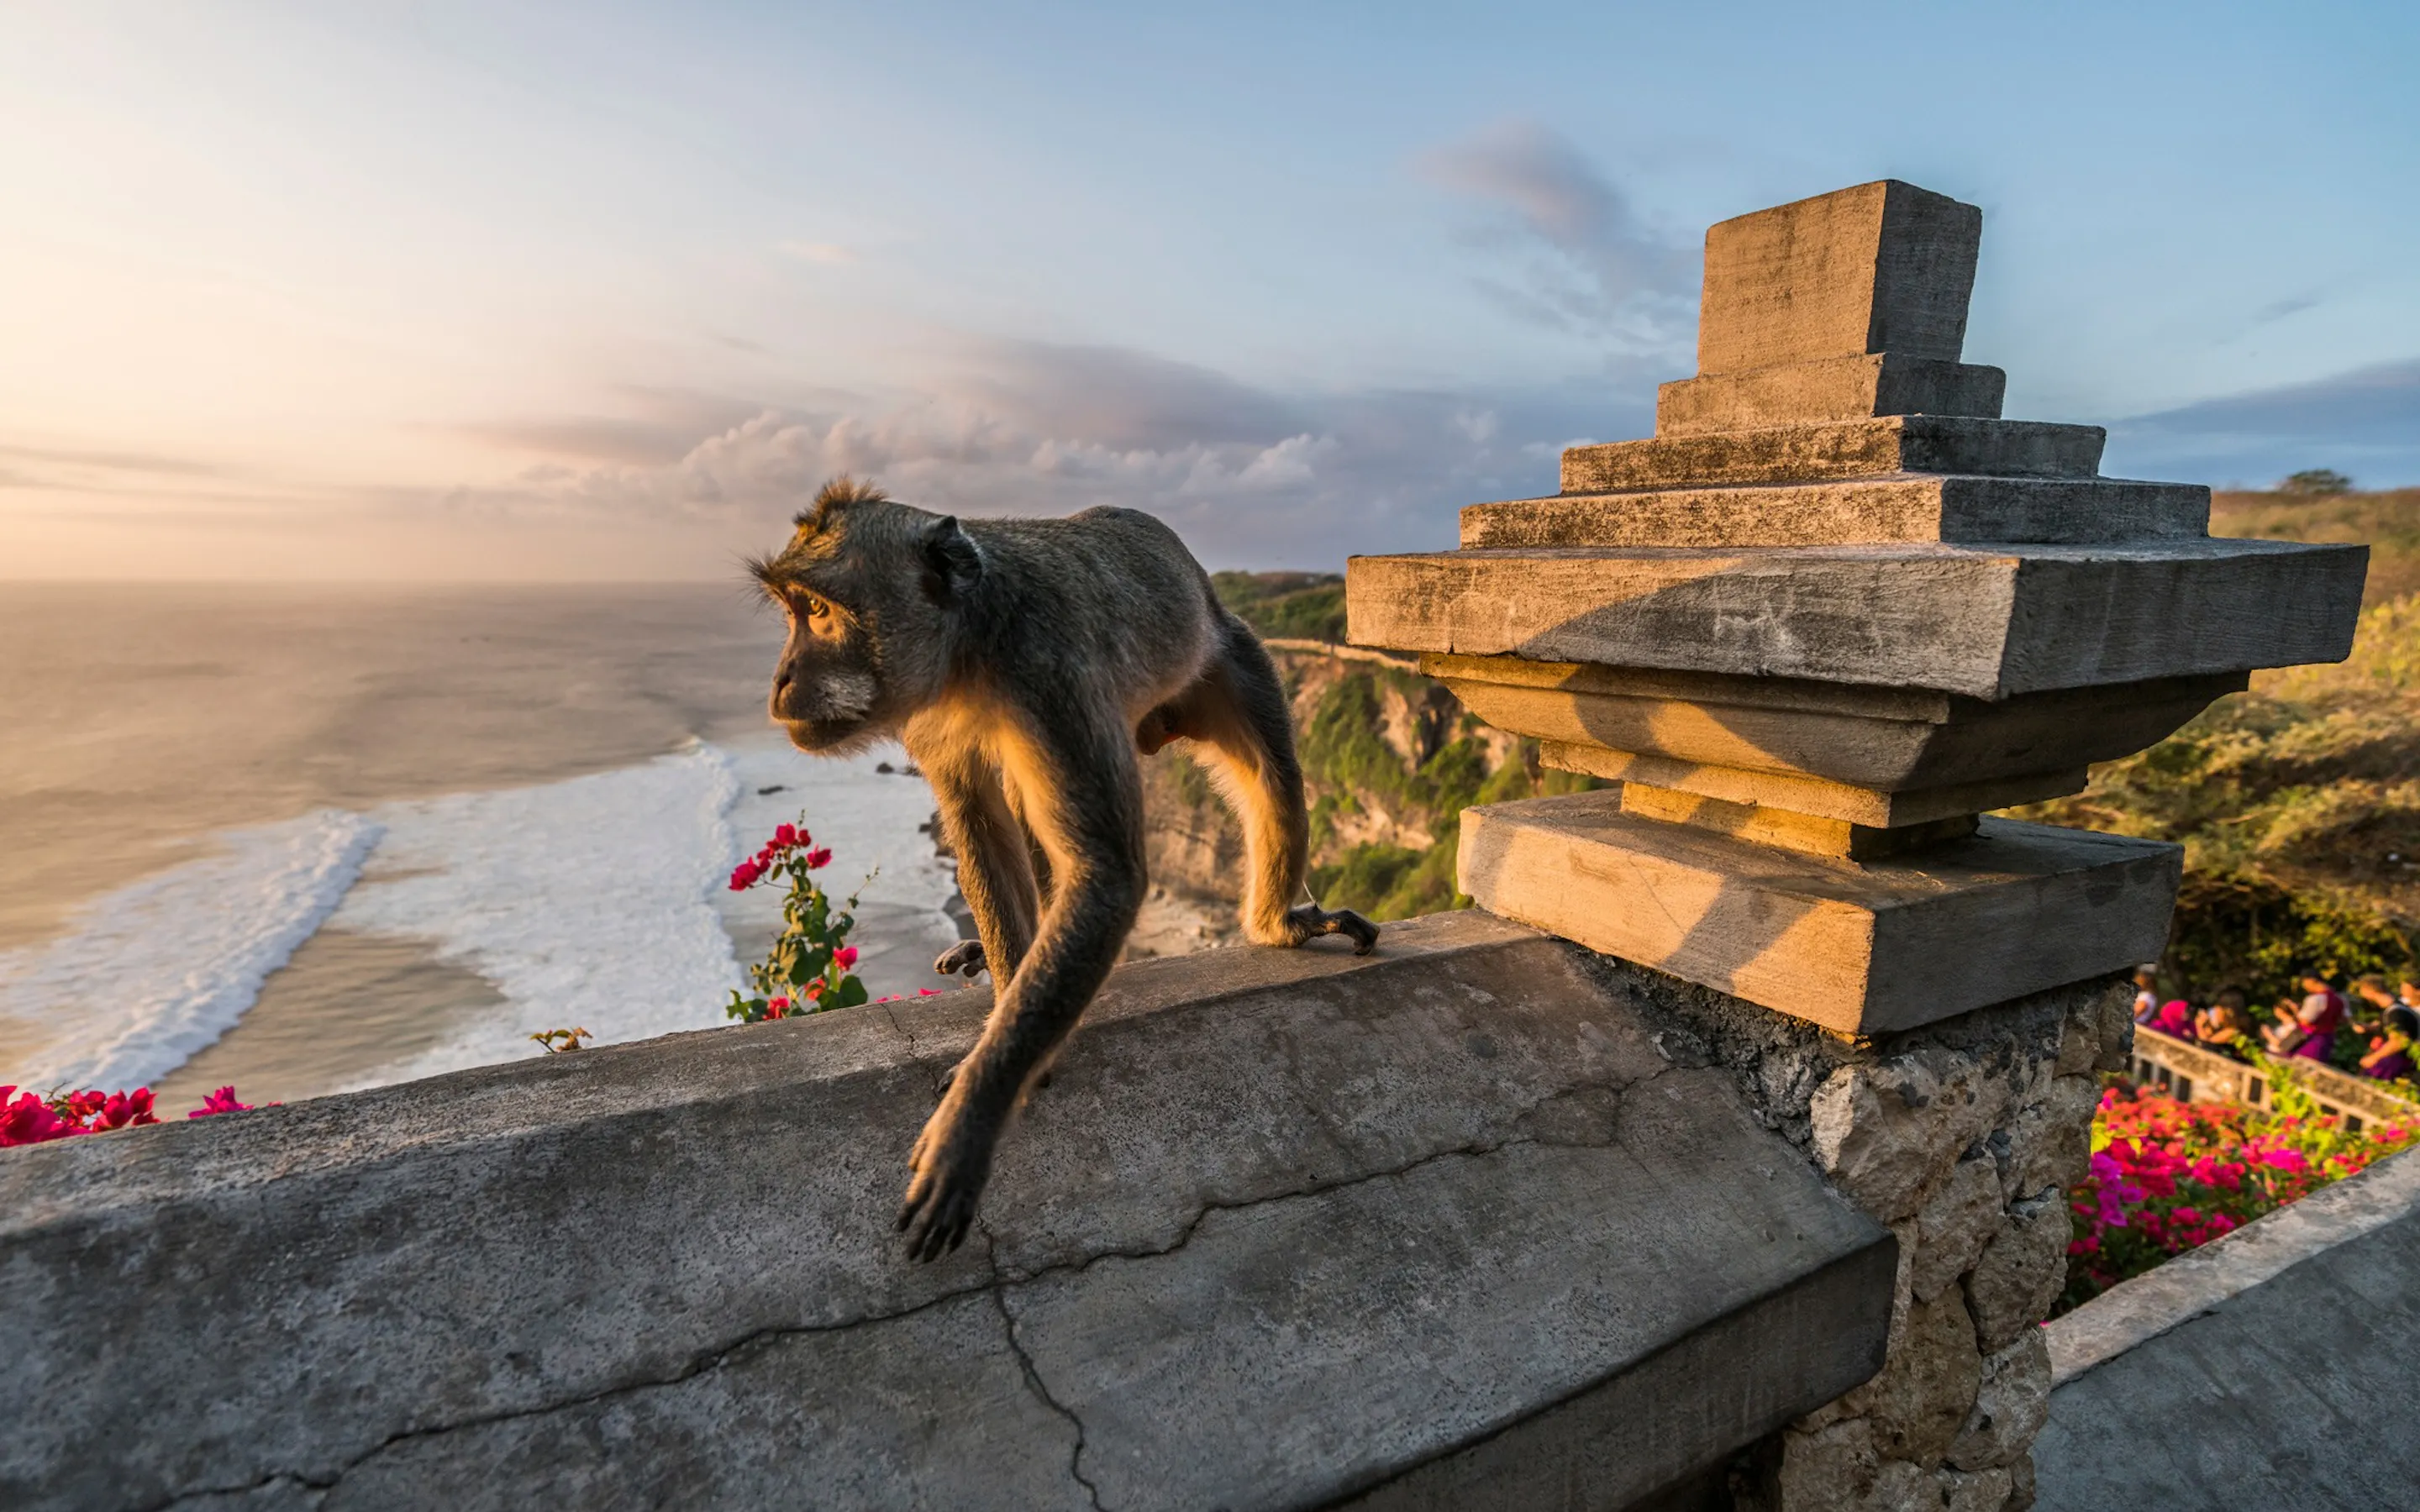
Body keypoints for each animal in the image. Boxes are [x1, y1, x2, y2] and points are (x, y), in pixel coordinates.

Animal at [754, 476, 1379, 1262]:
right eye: (793, 611)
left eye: (819, 611)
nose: (781, 678)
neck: (970, 649)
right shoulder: (934, 716)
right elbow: (981, 823)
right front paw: (1010, 1023)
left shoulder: (1047, 676)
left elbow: (1106, 874)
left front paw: (978, 1113)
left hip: (1231, 658)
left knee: (1275, 778)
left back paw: (1277, 924)